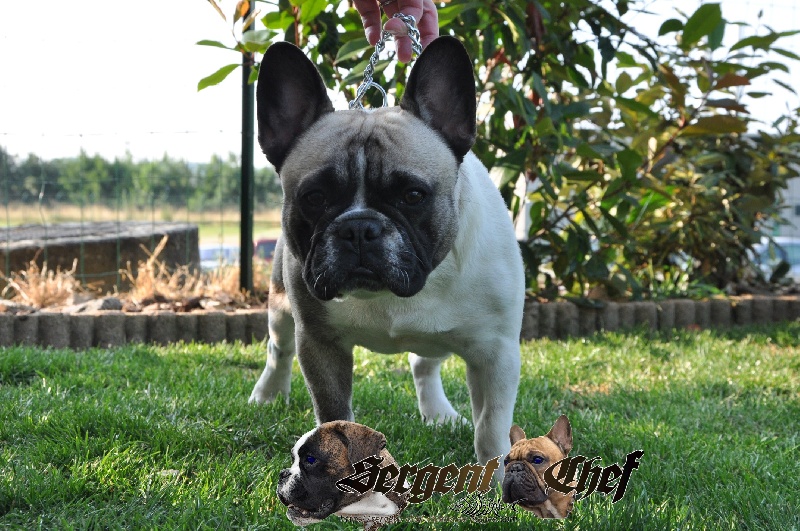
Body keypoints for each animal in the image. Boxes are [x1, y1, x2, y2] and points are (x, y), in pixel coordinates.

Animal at [249, 35, 524, 475]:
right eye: (315, 197)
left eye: (413, 195)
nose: (359, 227)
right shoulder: (321, 344)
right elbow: (333, 415)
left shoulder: (495, 354)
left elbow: (490, 427)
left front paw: (497, 476)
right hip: (279, 304)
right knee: (279, 349)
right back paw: (268, 395)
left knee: (424, 364)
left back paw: (438, 413)